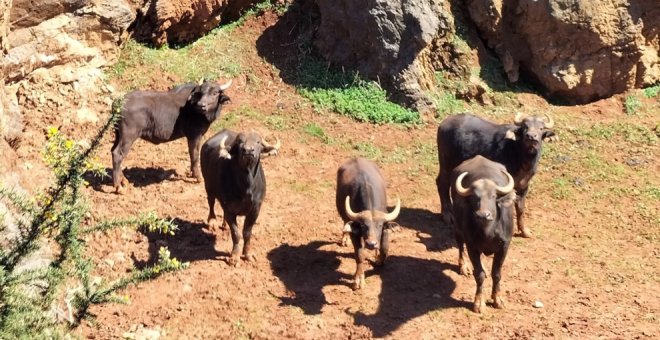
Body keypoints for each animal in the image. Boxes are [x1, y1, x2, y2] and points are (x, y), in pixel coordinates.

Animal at [202, 128, 282, 266]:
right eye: (240, 142)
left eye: (258, 142)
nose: (248, 150)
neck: (246, 187)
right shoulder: (229, 209)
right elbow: (236, 233)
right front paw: (234, 256)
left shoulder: (255, 210)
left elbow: (247, 233)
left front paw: (248, 255)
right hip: (208, 186)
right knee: (211, 203)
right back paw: (212, 222)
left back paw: (224, 225)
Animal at [336, 159, 402, 290]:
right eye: (363, 226)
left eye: (380, 226)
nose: (371, 244)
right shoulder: (355, 234)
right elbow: (360, 255)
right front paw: (358, 279)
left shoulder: (385, 230)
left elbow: (384, 248)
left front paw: (379, 260)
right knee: (345, 224)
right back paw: (344, 239)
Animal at [452, 155, 520, 312]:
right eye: (474, 198)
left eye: (493, 196)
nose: (483, 214)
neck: (488, 232)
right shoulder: (472, 246)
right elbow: (479, 274)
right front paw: (479, 302)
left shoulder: (504, 246)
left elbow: (497, 273)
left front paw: (497, 299)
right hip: (457, 227)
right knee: (459, 244)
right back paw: (463, 267)